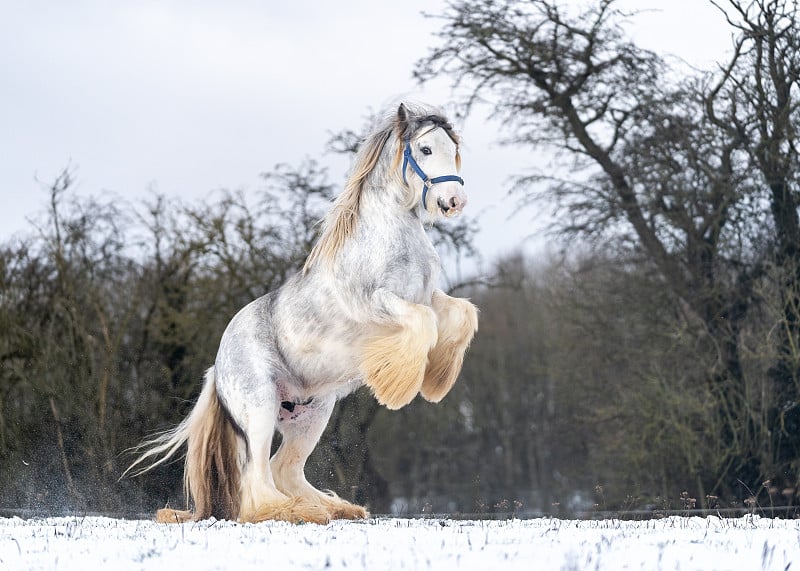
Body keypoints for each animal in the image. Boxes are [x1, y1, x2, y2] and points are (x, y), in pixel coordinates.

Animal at [124, 101, 476, 524]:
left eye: (452, 149)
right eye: (425, 149)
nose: (454, 201)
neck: (391, 237)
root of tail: (216, 368)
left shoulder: (428, 296)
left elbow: (463, 314)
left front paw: (437, 380)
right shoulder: (376, 302)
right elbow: (424, 324)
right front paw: (400, 387)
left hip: (312, 414)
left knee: (284, 469)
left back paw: (336, 508)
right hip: (260, 408)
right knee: (257, 480)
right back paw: (293, 512)